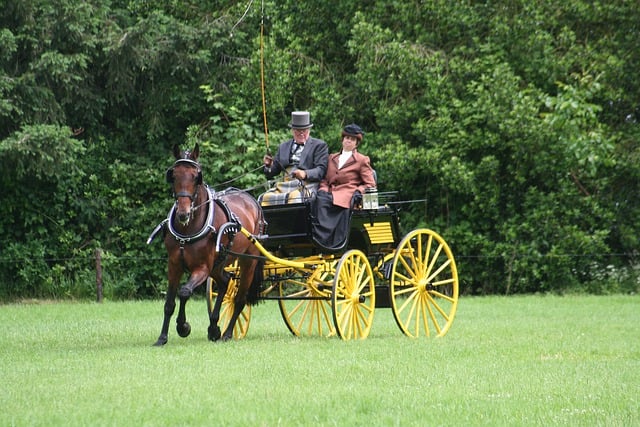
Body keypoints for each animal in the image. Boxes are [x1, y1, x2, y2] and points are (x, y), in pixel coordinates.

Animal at [154, 145, 264, 346]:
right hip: (218, 263)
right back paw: (214, 327)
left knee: (239, 299)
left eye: (196, 176)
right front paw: (162, 337)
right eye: (173, 175)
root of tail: (252, 200)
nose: (183, 213)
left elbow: (184, 292)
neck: (188, 230)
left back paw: (226, 333)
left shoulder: (202, 268)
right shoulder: (174, 265)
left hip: (248, 261)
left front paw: (183, 327)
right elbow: (169, 303)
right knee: (225, 281)